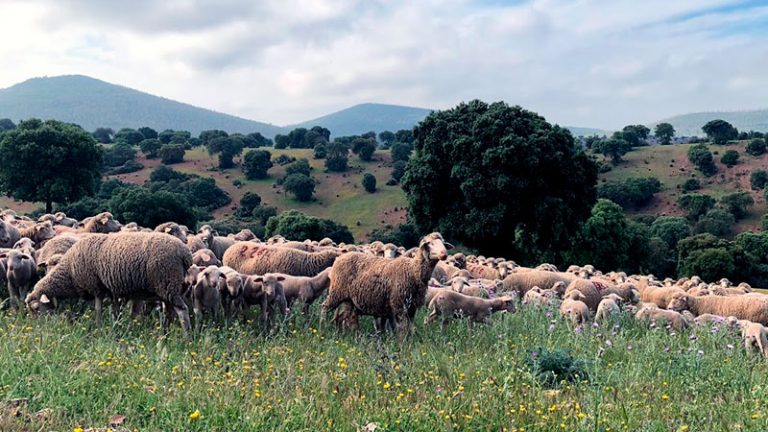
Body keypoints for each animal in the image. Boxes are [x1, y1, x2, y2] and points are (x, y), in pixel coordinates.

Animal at [25, 233, 194, 338]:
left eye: (36, 309)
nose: (36, 329)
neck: (69, 271)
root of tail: (185, 253)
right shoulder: (111, 290)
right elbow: (115, 312)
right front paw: (116, 330)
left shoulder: (96, 287)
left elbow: (98, 310)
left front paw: (99, 328)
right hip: (168, 288)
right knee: (169, 312)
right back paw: (164, 336)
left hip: (167, 281)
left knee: (182, 310)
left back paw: (187, 338)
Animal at [320, 231, 452, 336]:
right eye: (430, 243)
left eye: (443, 243)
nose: (444, 254)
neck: (413, 270)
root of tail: (340, 258)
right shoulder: (399, 305)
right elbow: (401, 329)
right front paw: (401, 346)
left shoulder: (412, 308)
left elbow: (410, 328)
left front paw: (410, 341)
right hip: (336, 292)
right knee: (324, 308)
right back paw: (323, 329)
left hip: (348, 300)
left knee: (342, 317)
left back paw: (343, 334)